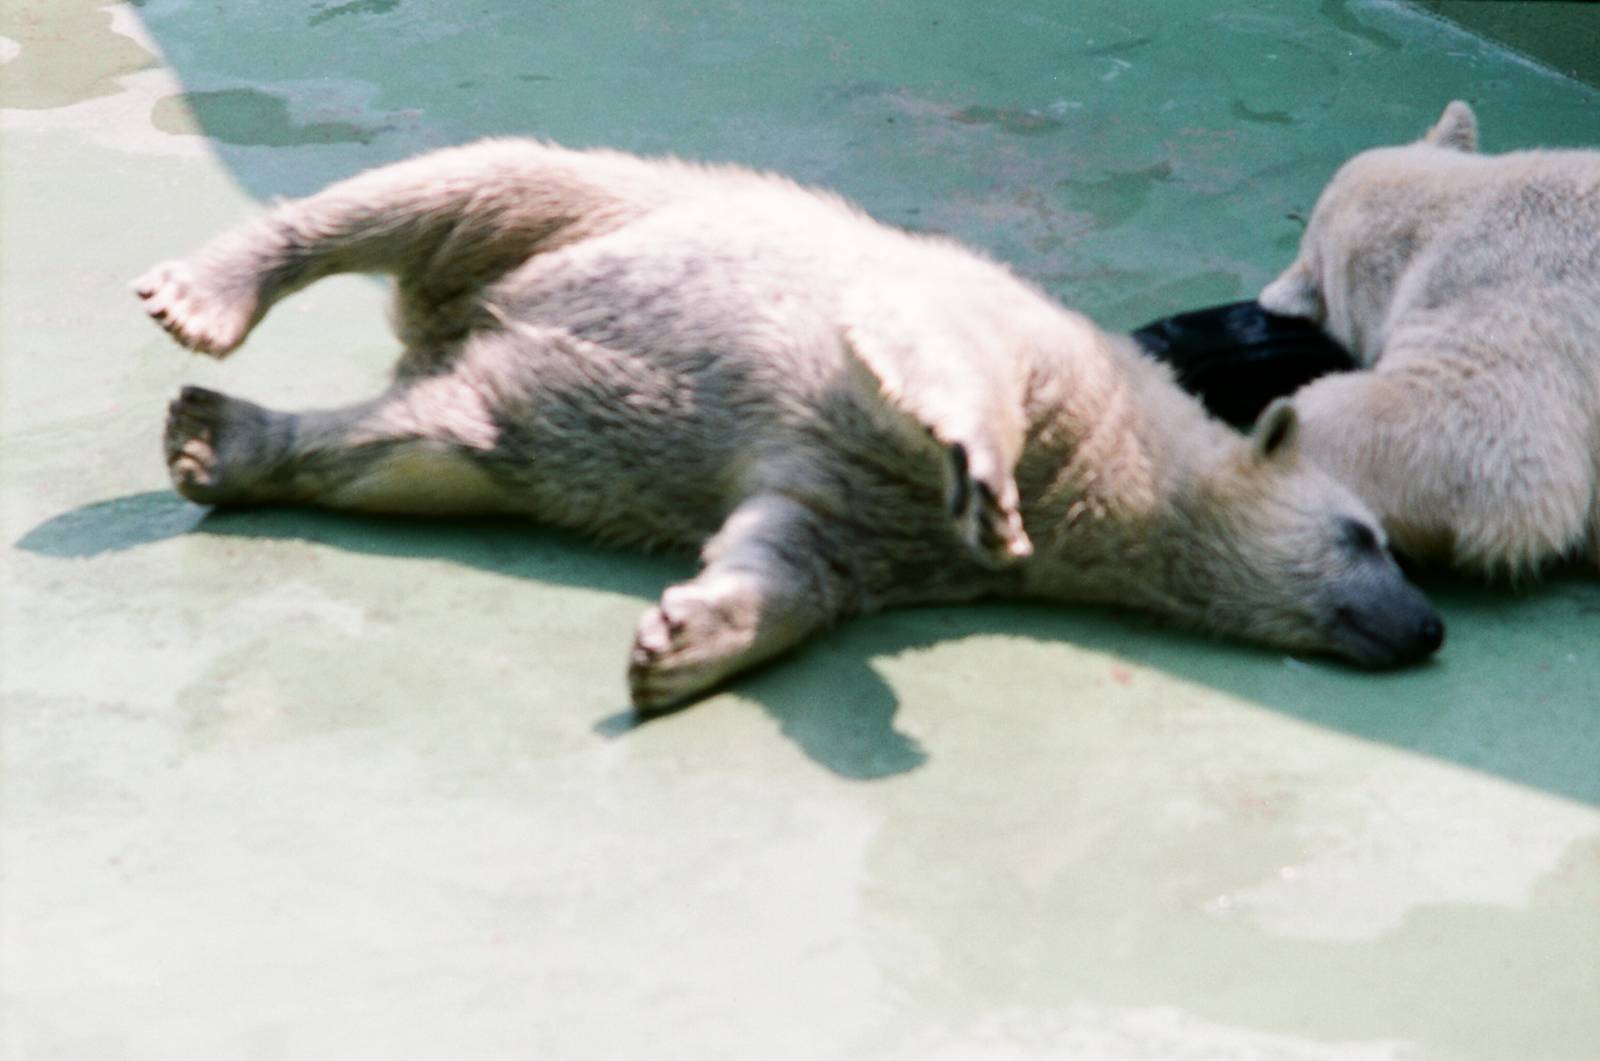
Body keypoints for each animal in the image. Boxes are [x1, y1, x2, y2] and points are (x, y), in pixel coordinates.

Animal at [133, 139, 1443, 710]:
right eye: (1366, 537)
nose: (1427, 627)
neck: (1112, 453)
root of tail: (454, 317)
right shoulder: (1022, 344)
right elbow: (951, 368)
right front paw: (983, 478)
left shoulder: (867, 520)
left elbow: (795, 555)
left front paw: (679, 643)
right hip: (603, 205)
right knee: (458, 185)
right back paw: (203, 298)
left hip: (500, 389)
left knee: (433, 443)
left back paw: (220, 439)